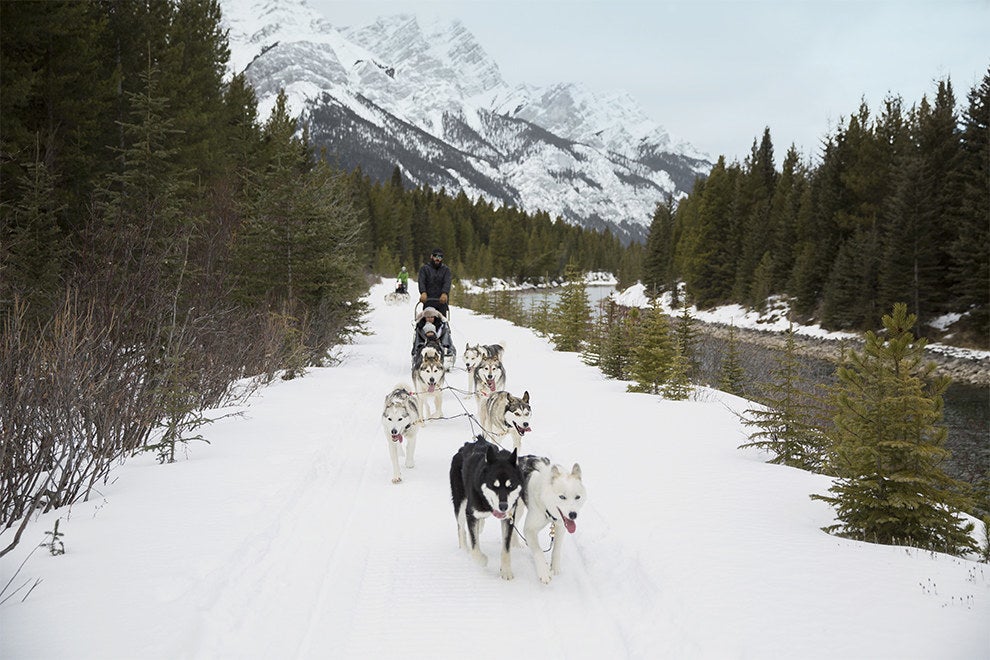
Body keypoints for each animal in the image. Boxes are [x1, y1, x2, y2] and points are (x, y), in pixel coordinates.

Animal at [452, 438, 528, 576]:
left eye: (510, 486)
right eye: (494, 485)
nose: (503, 506)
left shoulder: (509, 519)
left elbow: (506, 547)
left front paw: (506, 571)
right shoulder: (471, 514)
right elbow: (475, 546)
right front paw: (481, 560)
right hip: (460, 503)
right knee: (461, 529)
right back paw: (464, 549)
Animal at [512, 456, 588, 584]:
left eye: (577, 497)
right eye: (562, 497)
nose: (573, 514)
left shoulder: (561, 526)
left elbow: (557, 548)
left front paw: (555, 567)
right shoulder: (529, 529)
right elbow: (538, 551)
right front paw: (544, 572)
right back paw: (515, 544)